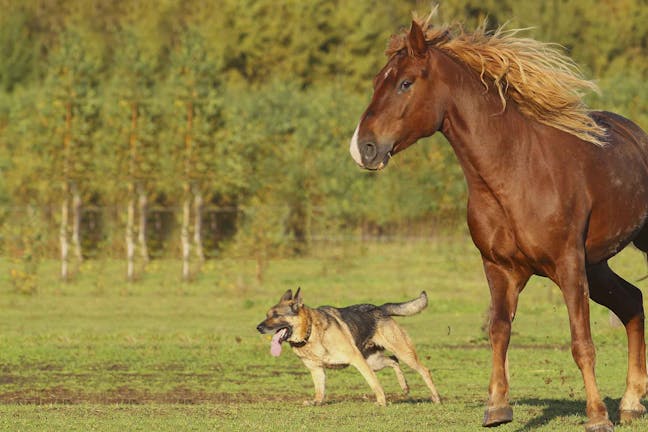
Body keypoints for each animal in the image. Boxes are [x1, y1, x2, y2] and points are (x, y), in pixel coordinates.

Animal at [256, 288, 440, 406]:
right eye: (267, 315)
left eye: (277, 316)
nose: (258, 327)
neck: (311, 332)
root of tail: (379, 308)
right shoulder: (316, 369)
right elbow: (319, 389)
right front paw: (316, 402)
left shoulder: (357, 360)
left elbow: (374, 382)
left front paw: (381, 401)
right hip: (374, 361)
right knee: (393, 361)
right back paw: (405, 387)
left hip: (401, 353)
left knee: (424, 370)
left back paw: (436, 398)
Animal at [350, 17, 648, 432]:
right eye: (379, 80)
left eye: (405, 83)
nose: (363, 148)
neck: (516, 171)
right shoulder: (500, 268)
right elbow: (499, 331)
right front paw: (497, 407)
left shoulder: (569, 265)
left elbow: (581, 342)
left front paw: (597, 417)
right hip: (598, 265)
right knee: (632, 302)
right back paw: (632, 402)